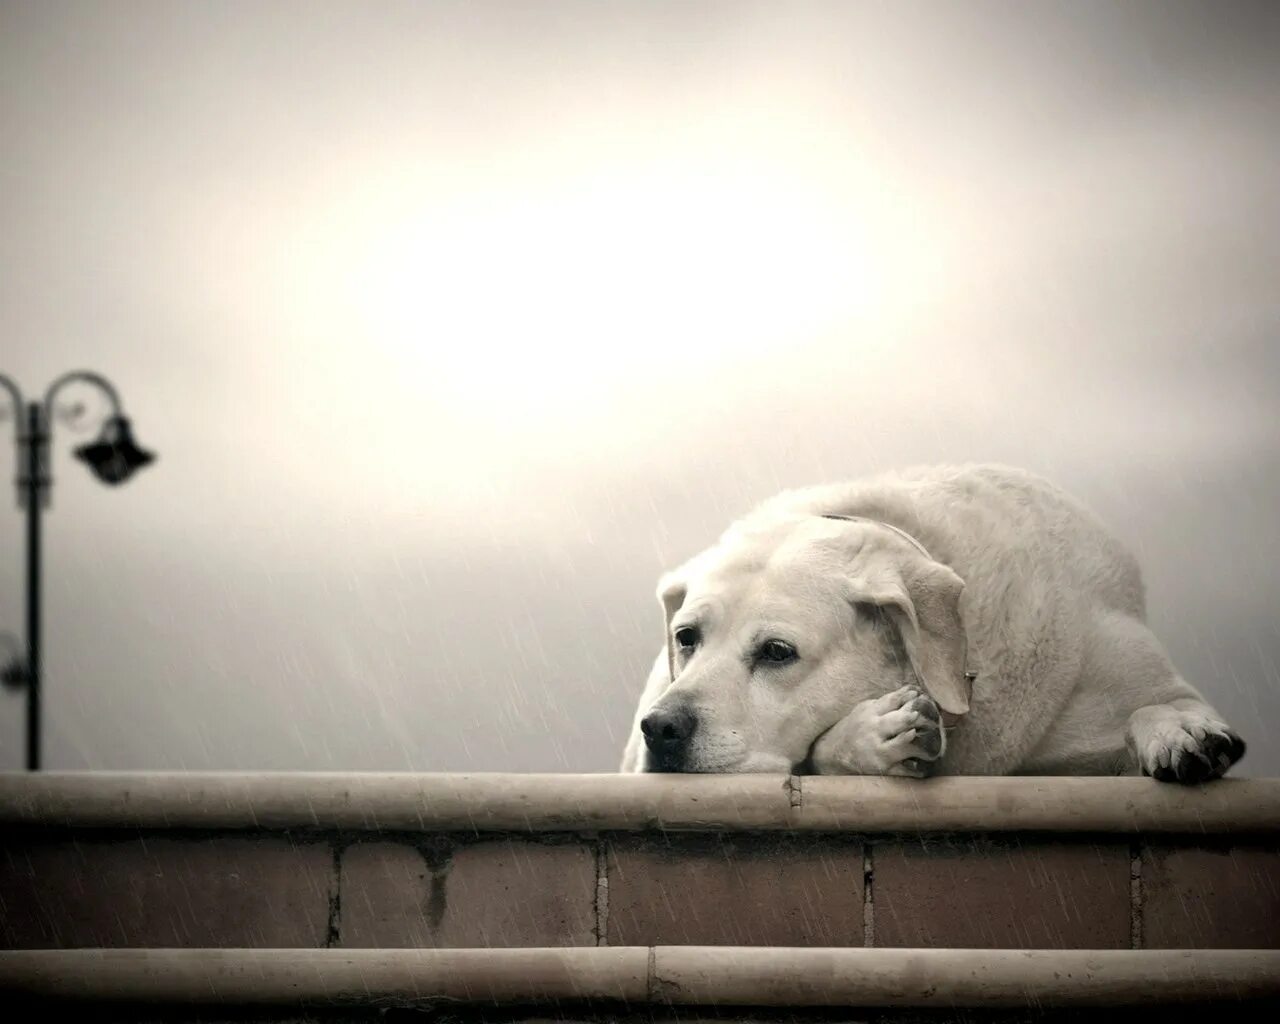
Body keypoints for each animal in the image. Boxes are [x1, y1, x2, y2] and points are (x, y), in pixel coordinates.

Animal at [624, 463, 1244, 783]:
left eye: (777, 651)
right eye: (686, 638)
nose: (662, 728)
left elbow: (1157, 704)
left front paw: (1180, 732)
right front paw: (874, 735)